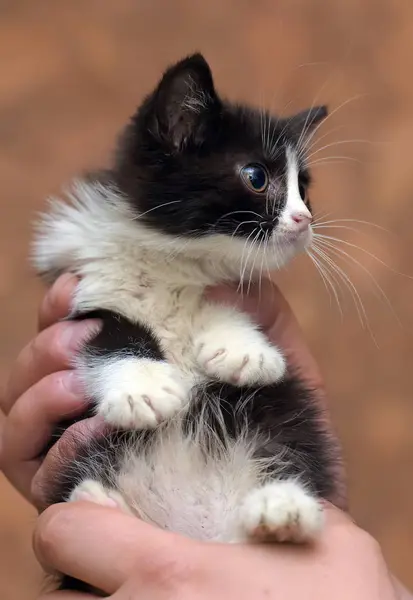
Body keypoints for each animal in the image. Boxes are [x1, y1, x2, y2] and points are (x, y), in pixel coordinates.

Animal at [33, 51, 338, 584]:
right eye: (256, 177)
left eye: (304, 188)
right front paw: (143, 387)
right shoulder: (79, 289)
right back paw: (98, 501)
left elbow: (222, 302)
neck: (174, 259)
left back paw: (282, 511)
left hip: (281, 418)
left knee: (290, 452)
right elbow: (111, 330)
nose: (304, 220)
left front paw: (242, 349)